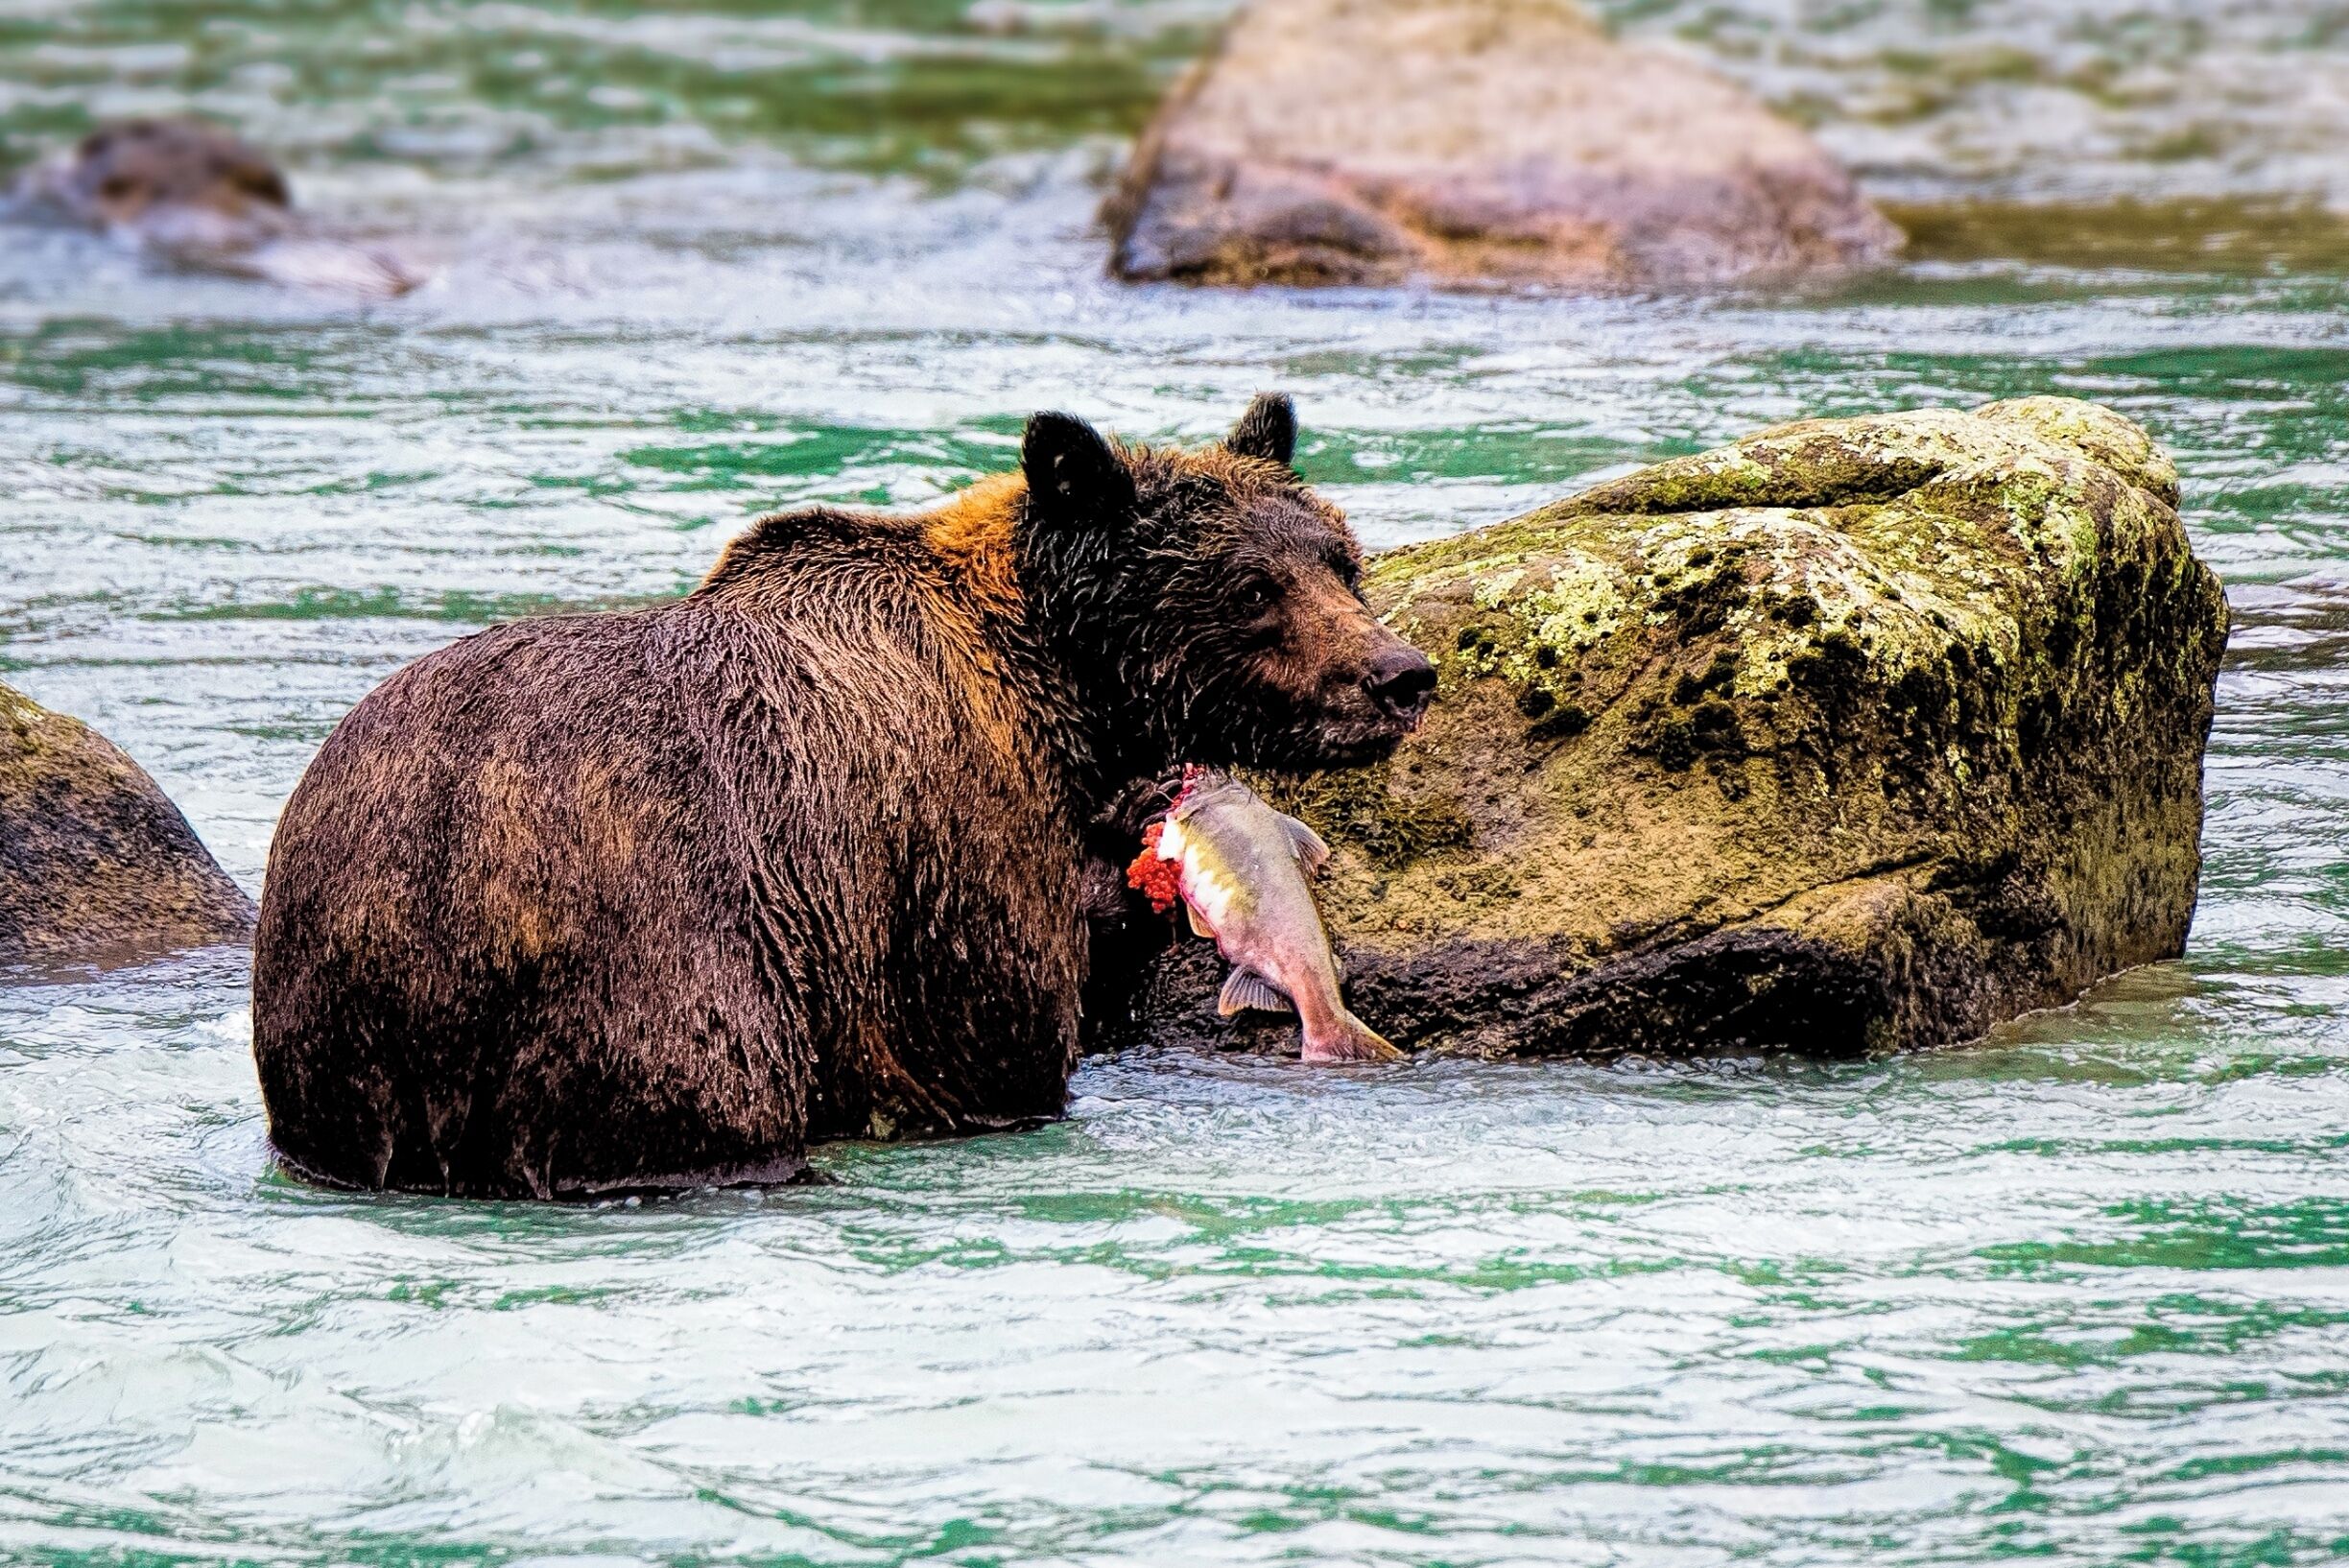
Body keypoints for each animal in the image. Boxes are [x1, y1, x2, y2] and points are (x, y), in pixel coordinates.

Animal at [251, 395, 1436, 1198]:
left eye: (1341, 561)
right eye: (1251, 588)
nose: (1401, 674)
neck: (1054, 686)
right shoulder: (941, 837)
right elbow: (994, 1029)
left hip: (338, 986)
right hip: (646, 953)